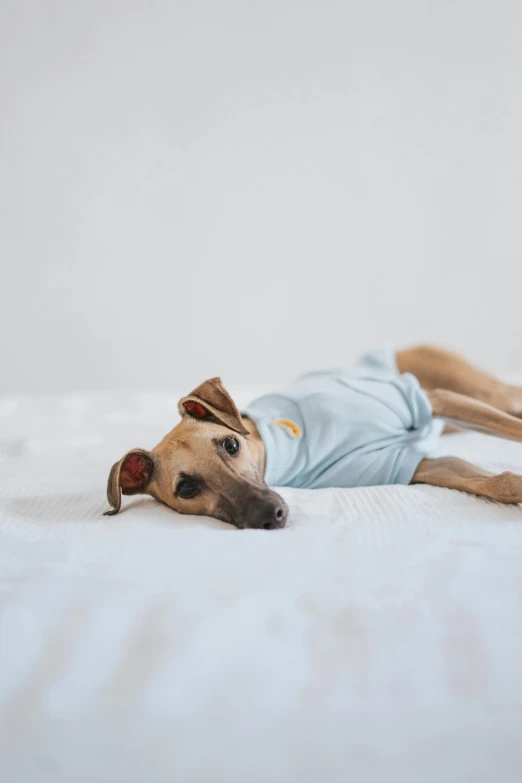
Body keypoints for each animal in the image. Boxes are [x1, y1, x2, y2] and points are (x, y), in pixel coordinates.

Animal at [102, 348, 522, 528]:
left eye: (231, 445)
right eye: (186, 488)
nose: (270, 516)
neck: (285, 445)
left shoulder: (435, 400)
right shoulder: (417, 464)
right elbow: (495, 483)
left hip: (477, 392)